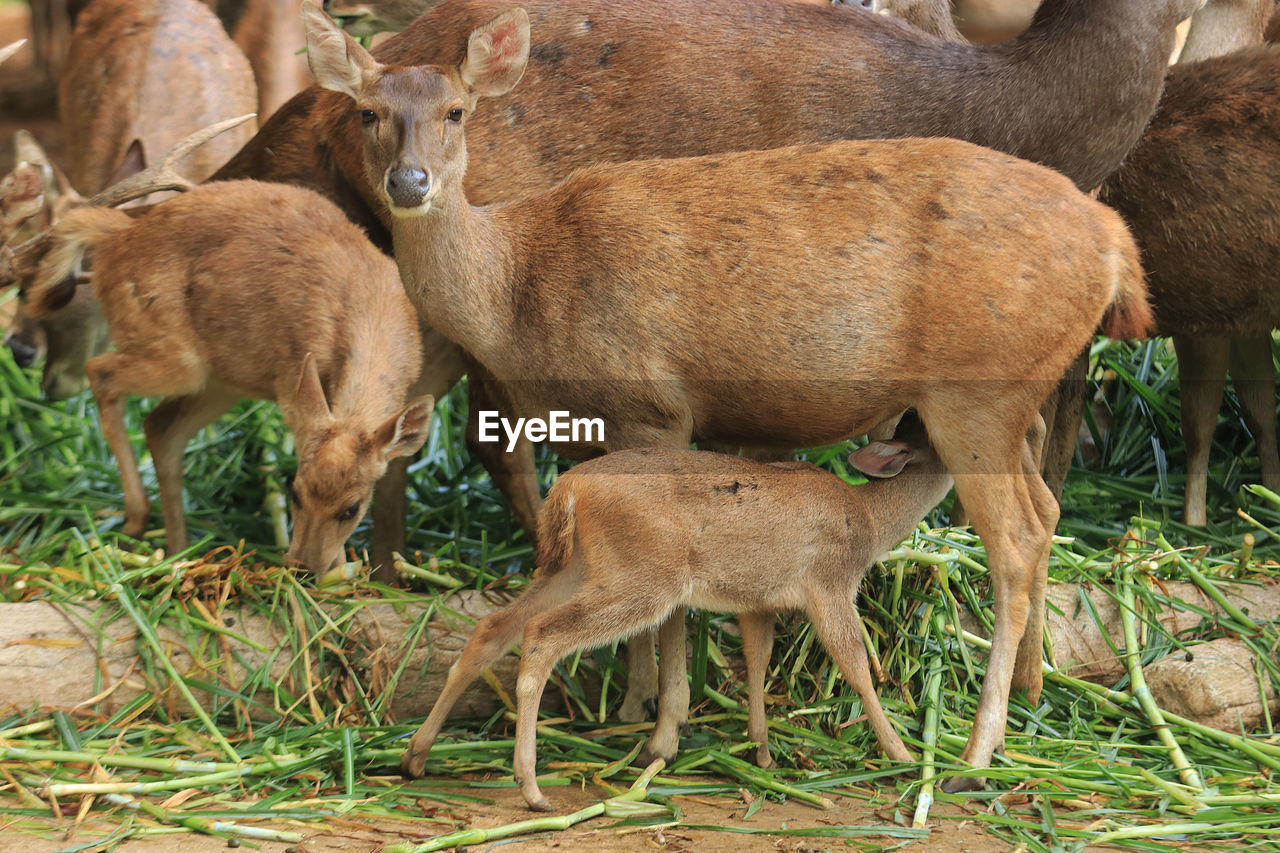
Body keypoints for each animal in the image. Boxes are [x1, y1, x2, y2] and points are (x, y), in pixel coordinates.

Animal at [404, 414, 957, 809]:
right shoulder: (830, 583)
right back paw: (532, 788)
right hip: (644, 578)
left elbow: (757, 662)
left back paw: (415, 756)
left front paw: (762, 752)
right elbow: (856, 665)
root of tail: (568, 489)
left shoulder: (758, 600)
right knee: (542, 635)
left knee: (492, 628)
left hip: (578, 568)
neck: (869, 519)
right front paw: (904, 756)